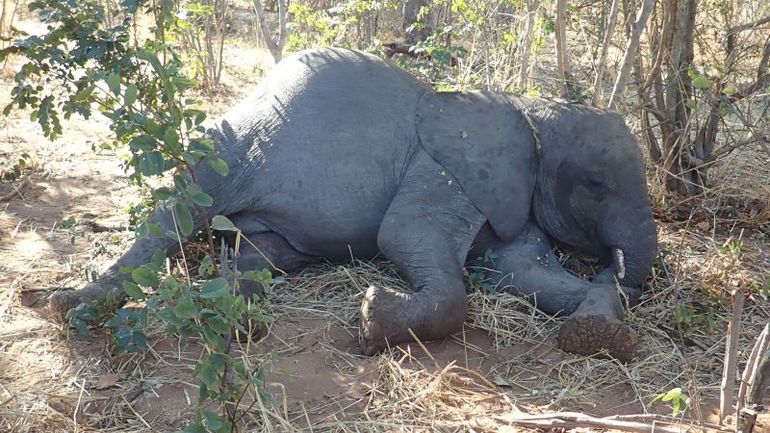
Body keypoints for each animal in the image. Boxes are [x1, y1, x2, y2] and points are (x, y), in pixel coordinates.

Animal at [50, 47, 657, 362]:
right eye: (595, 184)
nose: (609, 265)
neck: (527, 112)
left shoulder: (507, 194)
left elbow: (520, 270)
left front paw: (597, 335)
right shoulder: (443, 168)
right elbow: (404, 235)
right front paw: (370, 322)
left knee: (259, 256)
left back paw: (235, 313)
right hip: (221, 152)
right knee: (170, 222)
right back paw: (74, 308)